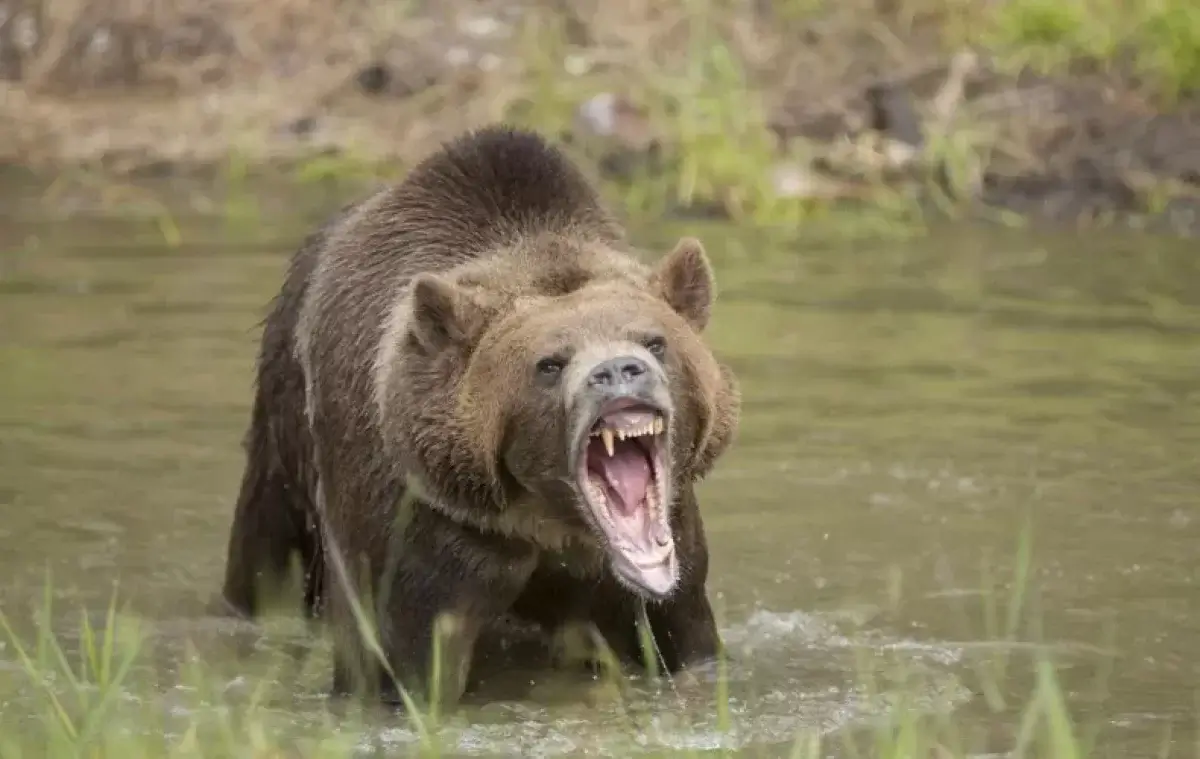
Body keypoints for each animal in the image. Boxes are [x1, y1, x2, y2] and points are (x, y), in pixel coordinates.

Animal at [216, 121, 739, 710]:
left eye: (654, 341)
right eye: (549, 363)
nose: (618, 371)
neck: (547, 518)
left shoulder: (665, 553)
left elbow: (682, 631)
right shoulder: (425, 528)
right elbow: (401, 659)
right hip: (284, 431)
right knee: (266, 556)